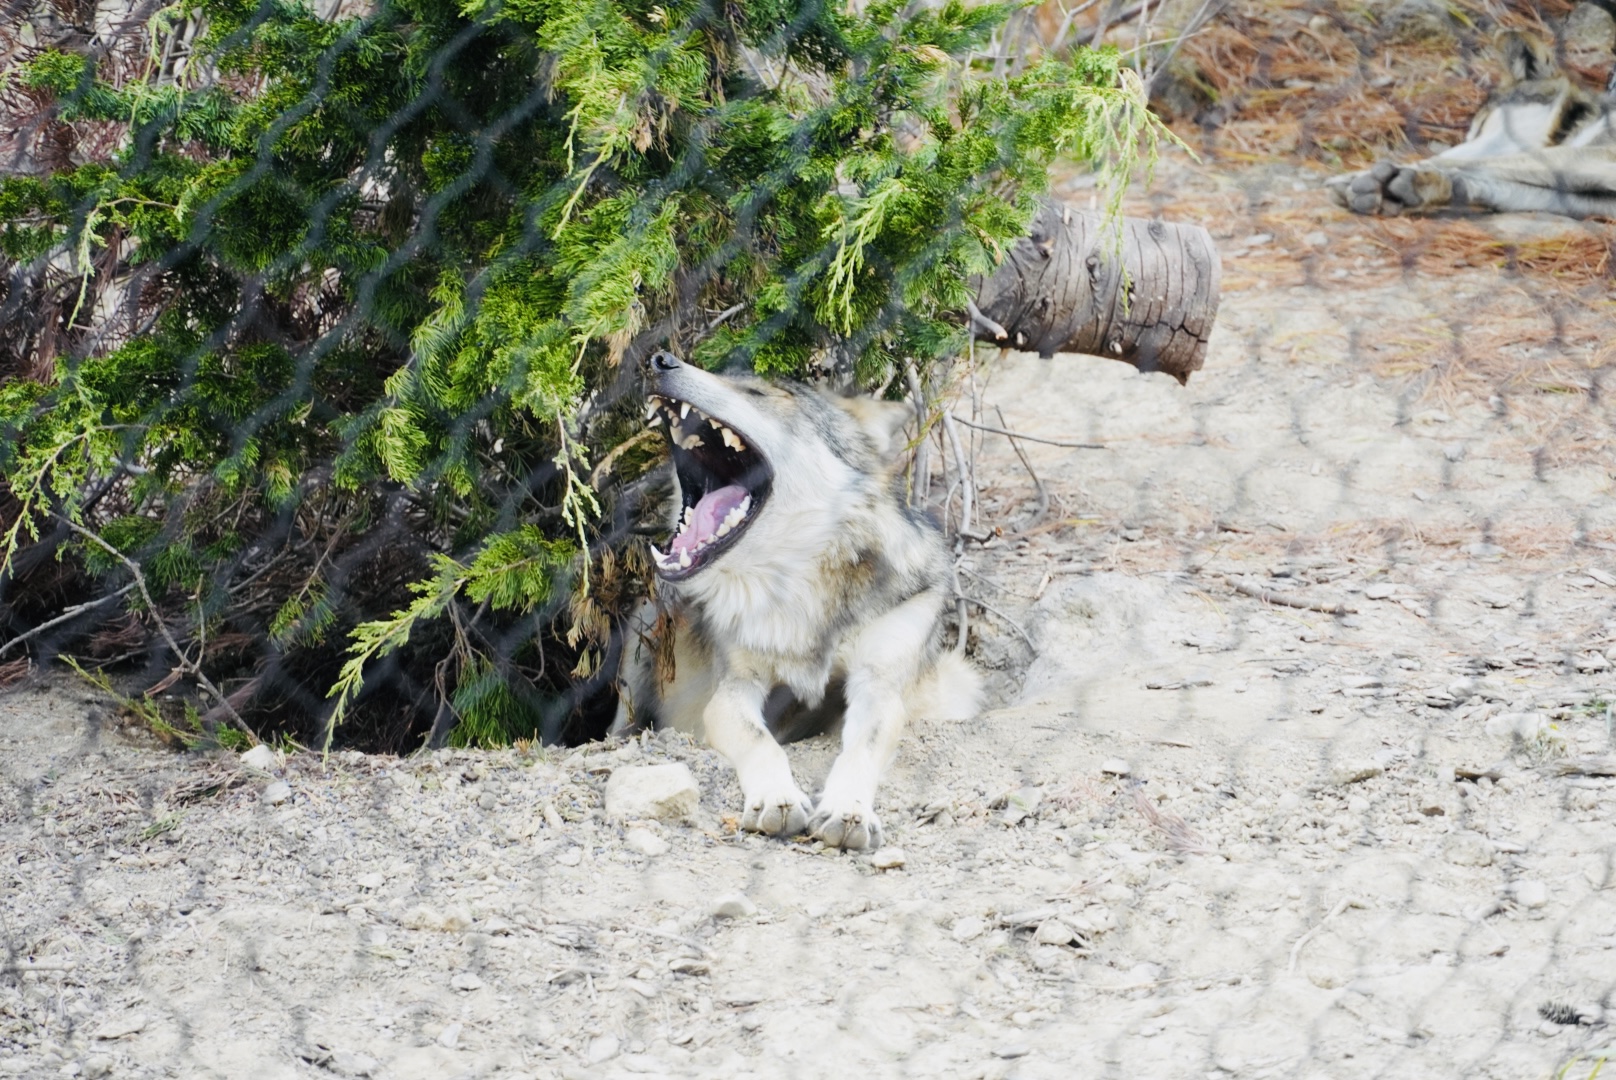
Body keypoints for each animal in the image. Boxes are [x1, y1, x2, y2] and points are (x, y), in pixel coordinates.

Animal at [610, 350, 980, 850]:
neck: (799, 587)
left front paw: (847, 809)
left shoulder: (879, 685)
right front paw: (776, 799)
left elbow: (860, 748)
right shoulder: (734, 688)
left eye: (757, 394)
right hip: (641, 631)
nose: (660, 360)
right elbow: (760, 741)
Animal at [1327, 3, 1616, 218]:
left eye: (1481, 125)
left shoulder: (1599, 157)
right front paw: (1416, 187)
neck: (1586, 125)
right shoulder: (1596, 201)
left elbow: (1455, 161)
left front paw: (1353, 176)